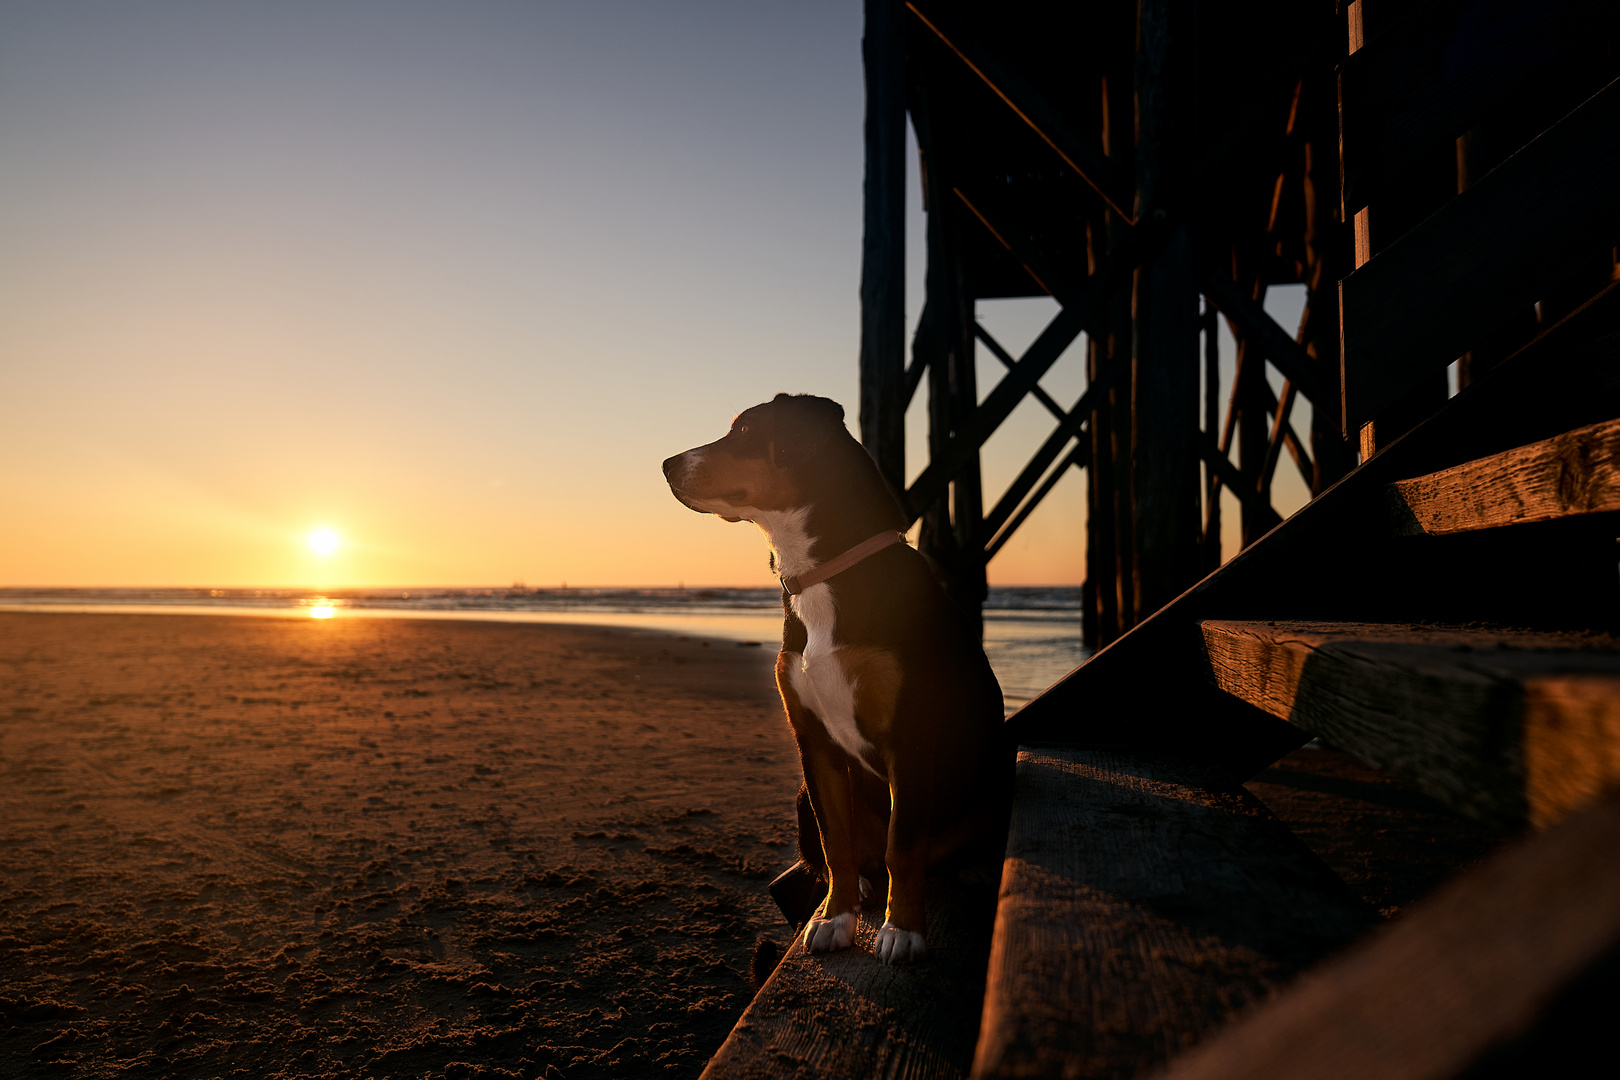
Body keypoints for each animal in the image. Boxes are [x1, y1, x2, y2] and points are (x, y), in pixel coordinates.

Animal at [664, 395, 1004, 965]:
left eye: (746, 431)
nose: (668, 465)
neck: (822, 574)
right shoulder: (815, 745)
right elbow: (835, 843)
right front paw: (836, 917)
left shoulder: (911, 737)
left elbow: (902, 845)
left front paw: (902, 929)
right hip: (804, 793)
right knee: (847, 856)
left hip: (986, 786)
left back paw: (972, 867)